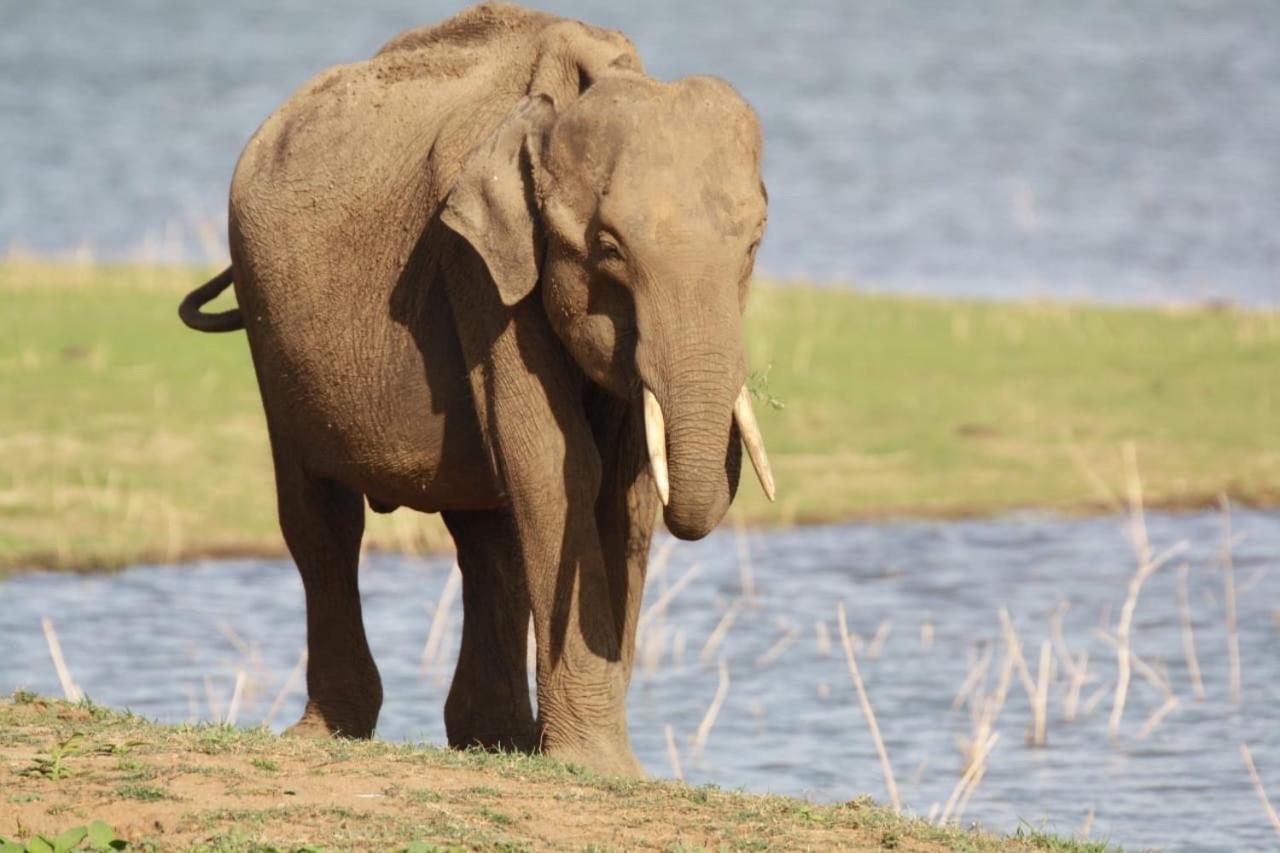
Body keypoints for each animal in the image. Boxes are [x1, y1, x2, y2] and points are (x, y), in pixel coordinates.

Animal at [177, 0, 768, 773]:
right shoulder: (477, 265)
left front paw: (594, 759)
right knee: (321, 515)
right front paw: (595, 764)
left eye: (753, 244)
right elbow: (558, 463)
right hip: (267, 319)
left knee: (487, 533)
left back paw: (495, 740)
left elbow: (625, 486)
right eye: (609, 250)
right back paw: (335, 731)